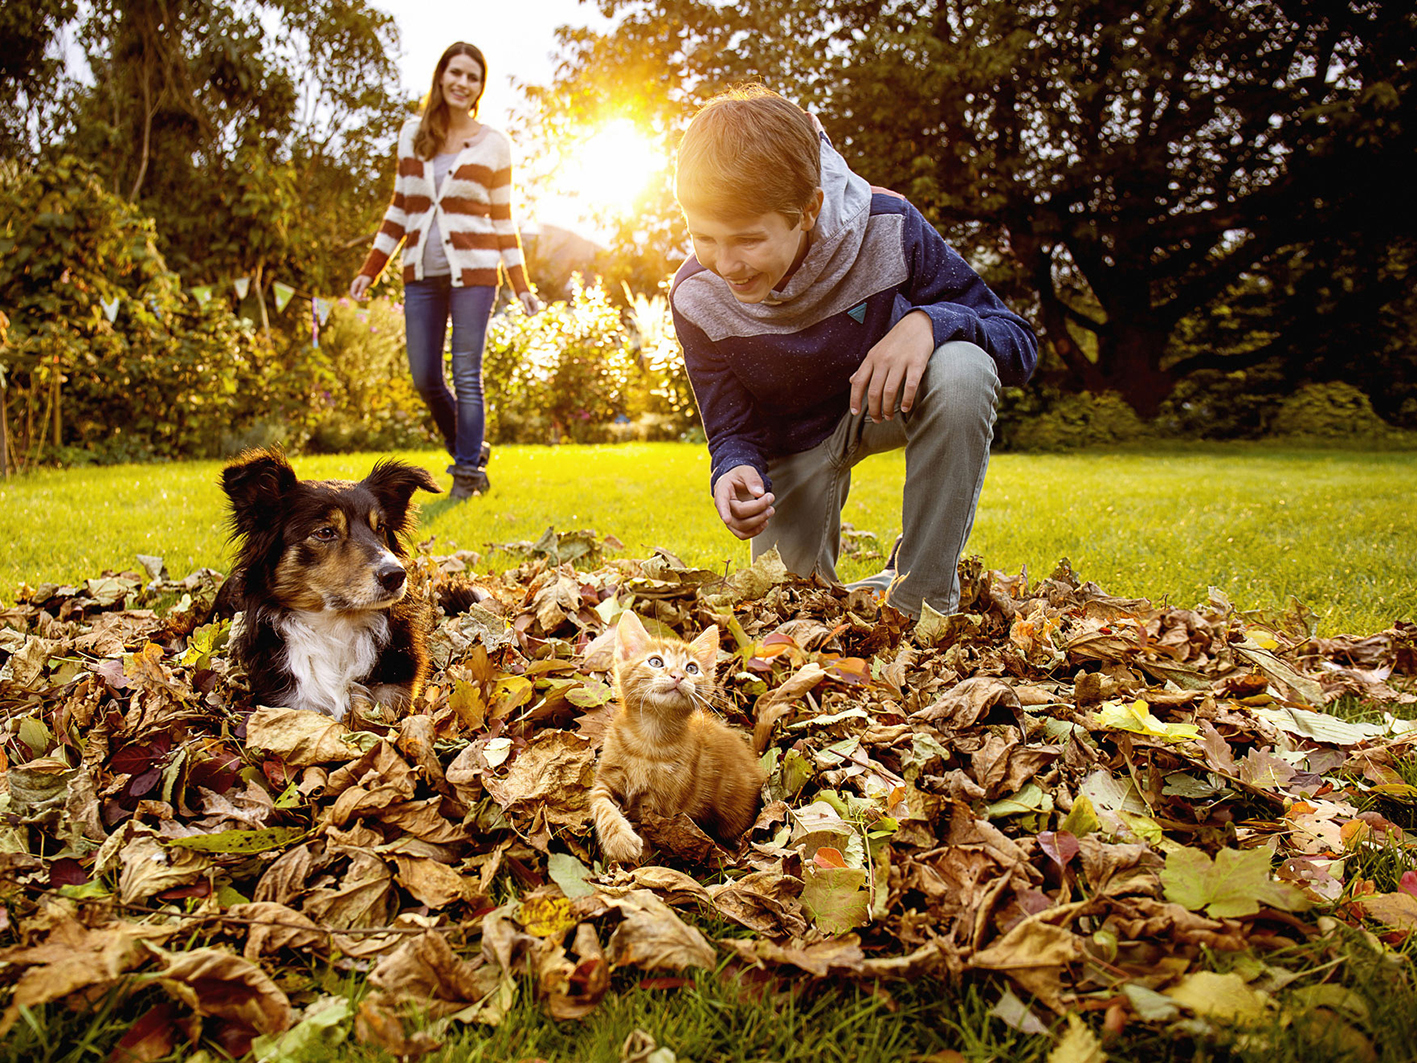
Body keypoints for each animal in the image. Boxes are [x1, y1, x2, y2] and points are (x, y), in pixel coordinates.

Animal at [212, 450, 436, 725]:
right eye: (325, 532)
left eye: (380, 527)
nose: (395, 575)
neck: (335, 626)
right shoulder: (291, 703)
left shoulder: (394, 693)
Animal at [589, 612, 765, 867]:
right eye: (655, 662)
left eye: (692, 668)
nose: (678, 676)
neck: (649, 740)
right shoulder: (606, 778)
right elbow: (602, 804)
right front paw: (620, 840)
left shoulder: (661, 805)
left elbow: (649, 834)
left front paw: (641, 863)